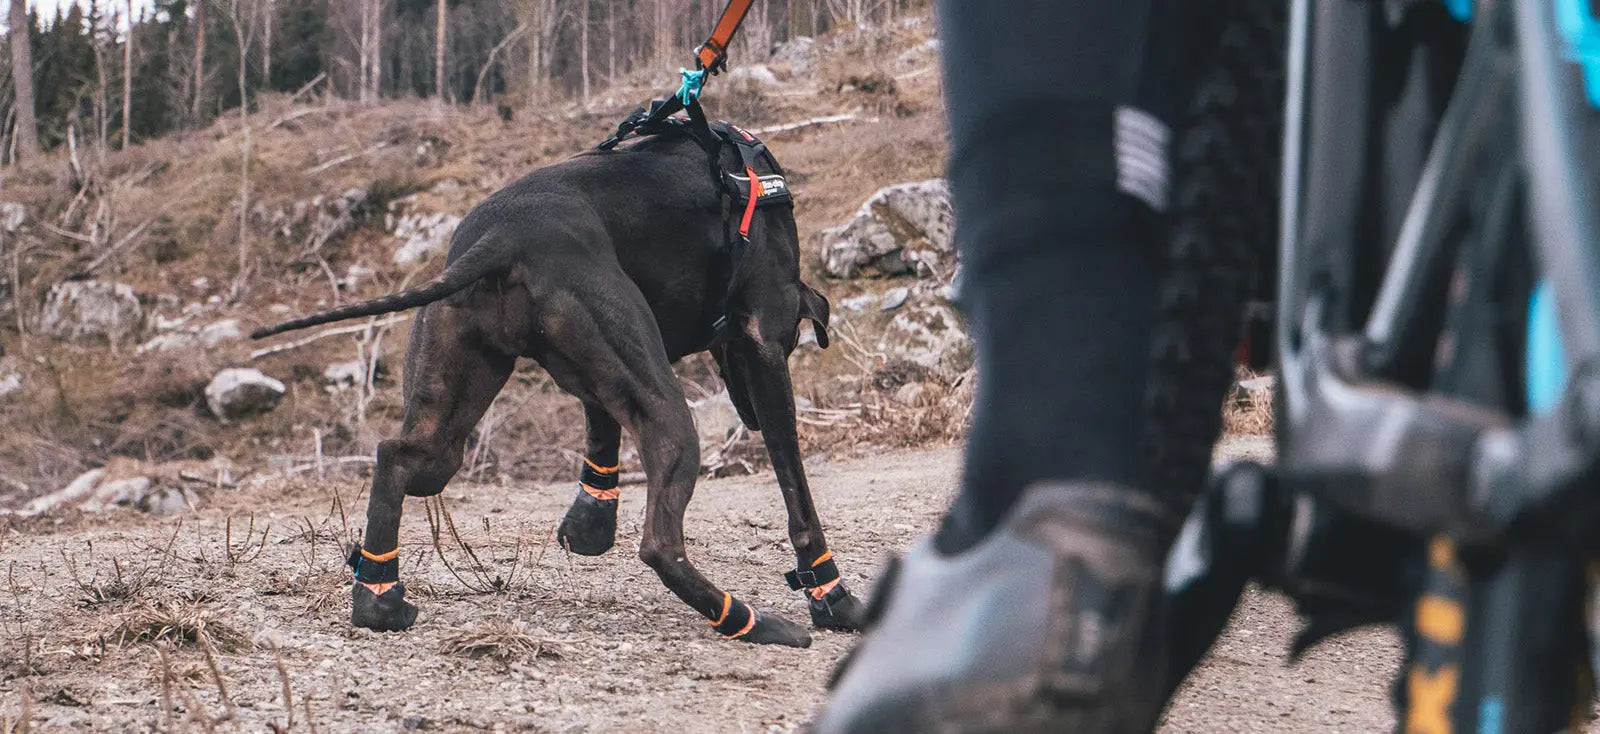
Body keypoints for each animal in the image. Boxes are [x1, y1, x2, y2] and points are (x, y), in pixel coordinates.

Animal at [252, 129, 864, 646]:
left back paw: (380, 600)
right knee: (660, 544)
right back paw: (748, 621)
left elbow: (600, 426)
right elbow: (797, 494)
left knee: (395, 458)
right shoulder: (763, 350)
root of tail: (502, 238)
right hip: (669, 415)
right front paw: (832, 595)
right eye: (793, 342)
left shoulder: (604, 374)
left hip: (446, 428)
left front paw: (589, 524)